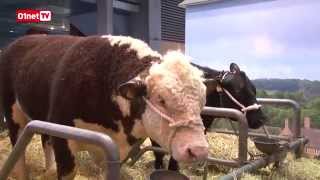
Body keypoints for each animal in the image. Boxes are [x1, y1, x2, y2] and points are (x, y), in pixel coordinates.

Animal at [0, 34, 209, 179]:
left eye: (202, 102)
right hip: (14, 115)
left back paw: (49, 170)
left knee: (45, 141)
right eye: (161, 100)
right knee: (18, 147)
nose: (198, 150)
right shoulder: (62, 138)